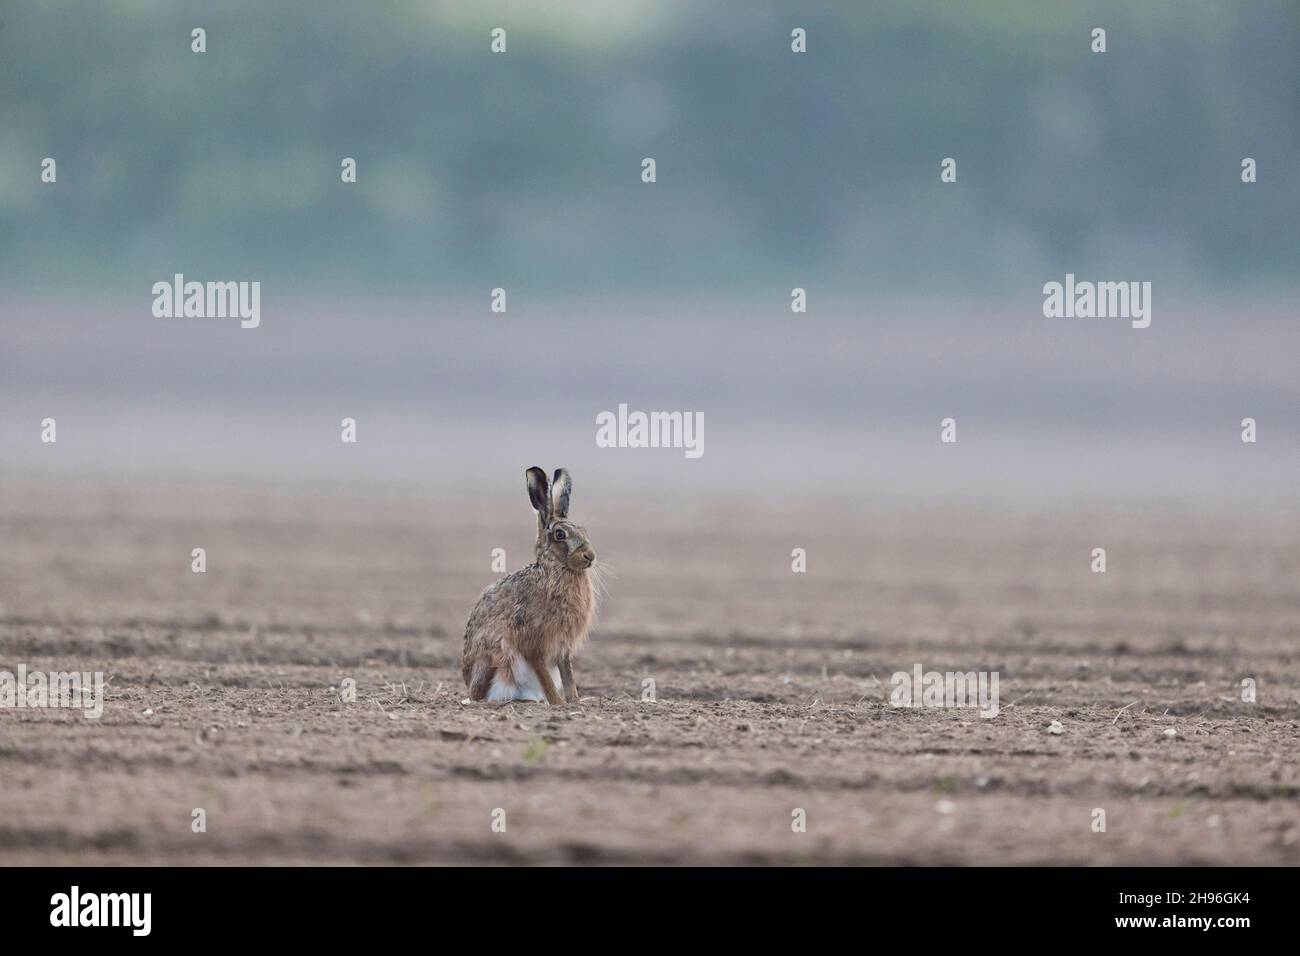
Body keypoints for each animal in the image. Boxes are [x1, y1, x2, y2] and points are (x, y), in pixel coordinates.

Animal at [461, 467, 597, 704]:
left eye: (583, 530)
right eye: (560, 534)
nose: (590, 556)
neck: (556, 569)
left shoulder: (562, 647)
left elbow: (567, 674)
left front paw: (575, 701)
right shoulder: (532, 642)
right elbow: (543, 674)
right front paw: (557, 703)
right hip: (495, 659)